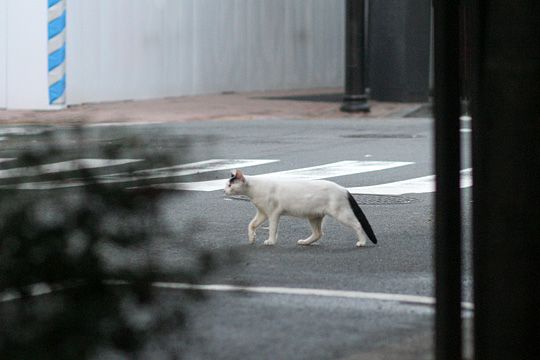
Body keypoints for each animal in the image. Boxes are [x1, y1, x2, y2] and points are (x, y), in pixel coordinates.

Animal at [223, 170, 376, 246]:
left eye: (230, 185)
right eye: (226, 184)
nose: (224, 190)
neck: (254, 190)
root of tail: (344, 189)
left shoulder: (273, 214)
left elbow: (272, 229)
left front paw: (271, 241)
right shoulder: (262, 213)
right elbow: (251, 225)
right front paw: (252, 238)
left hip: (341, 214)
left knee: (358, 225)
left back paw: (362, 242)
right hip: (314, 216)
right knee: (318, 233)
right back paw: (305, 242)